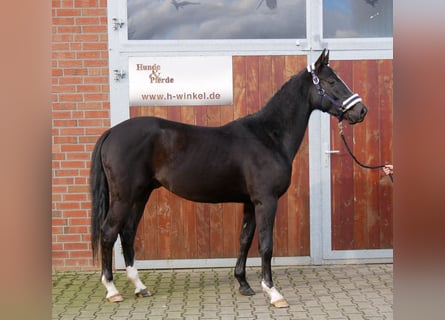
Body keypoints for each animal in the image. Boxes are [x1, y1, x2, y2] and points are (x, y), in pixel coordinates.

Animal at [88, 48, 366, 306]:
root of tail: (112, 132)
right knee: (109, 232)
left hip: (141, 194)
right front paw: (273, 292)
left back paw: (140, 287)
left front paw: (244, 284)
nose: (361, 111)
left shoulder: (250, 202)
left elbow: (245, 239)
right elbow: (266, 245)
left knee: (127, 232)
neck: (268, 136)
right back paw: (112, 290)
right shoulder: (266, 201)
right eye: (331, 81)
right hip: (125, 196)